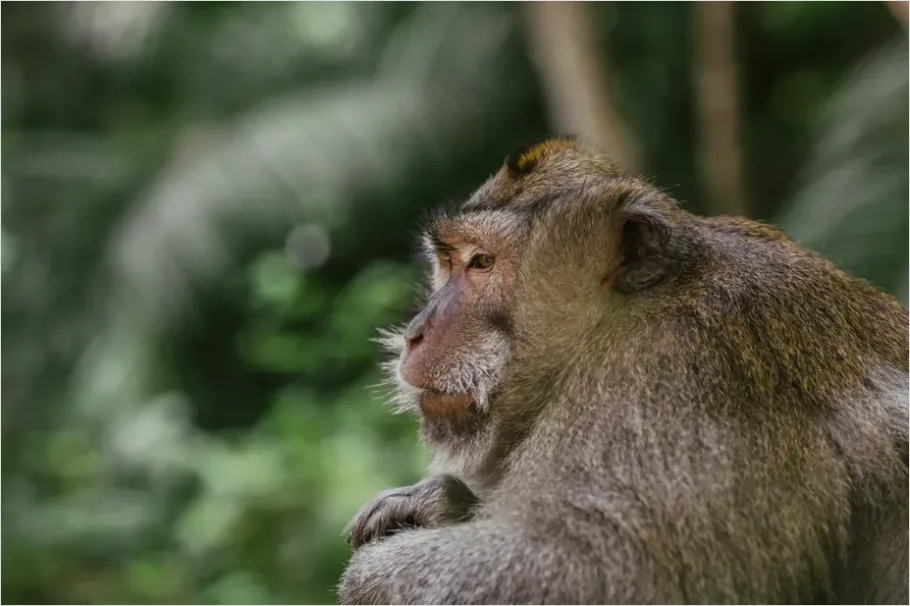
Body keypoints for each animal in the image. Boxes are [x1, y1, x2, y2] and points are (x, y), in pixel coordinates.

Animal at [339, 138, 909, 605]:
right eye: (448, 262)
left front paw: (375, 575)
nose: (416, 332)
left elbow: (604, 568)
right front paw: (441, 505)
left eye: (482, 262)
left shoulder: (673, 371)